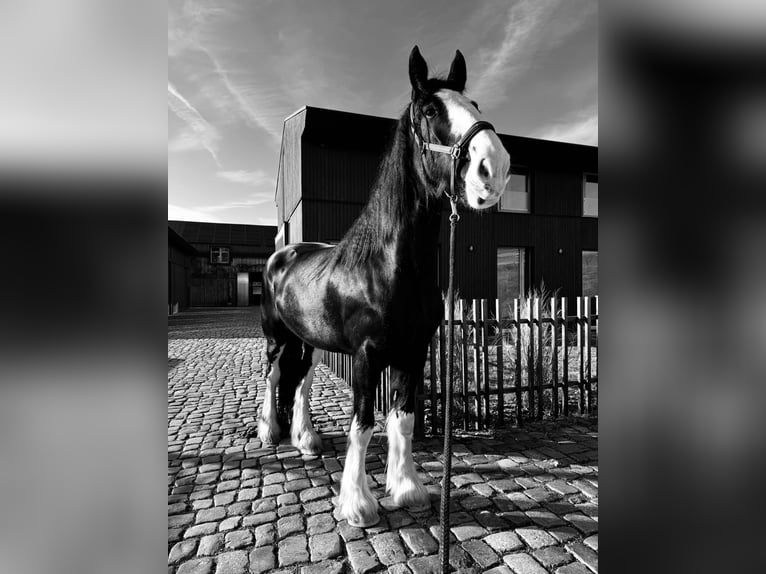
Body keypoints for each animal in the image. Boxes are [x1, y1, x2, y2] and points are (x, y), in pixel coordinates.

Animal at [258, 46, 511, 528]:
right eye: (430, 110)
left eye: (474, 105)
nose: (496, 167)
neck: (389, 267)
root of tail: (282, 254)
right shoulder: (367, 355)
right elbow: (363, 424)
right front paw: (357, 504)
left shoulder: (413, 351)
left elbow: (404, 418)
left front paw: (407, 489)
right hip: (277, 337)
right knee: (275, 374)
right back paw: (270, 431)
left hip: (310, 340)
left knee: (303, 380)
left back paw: (306, 439)